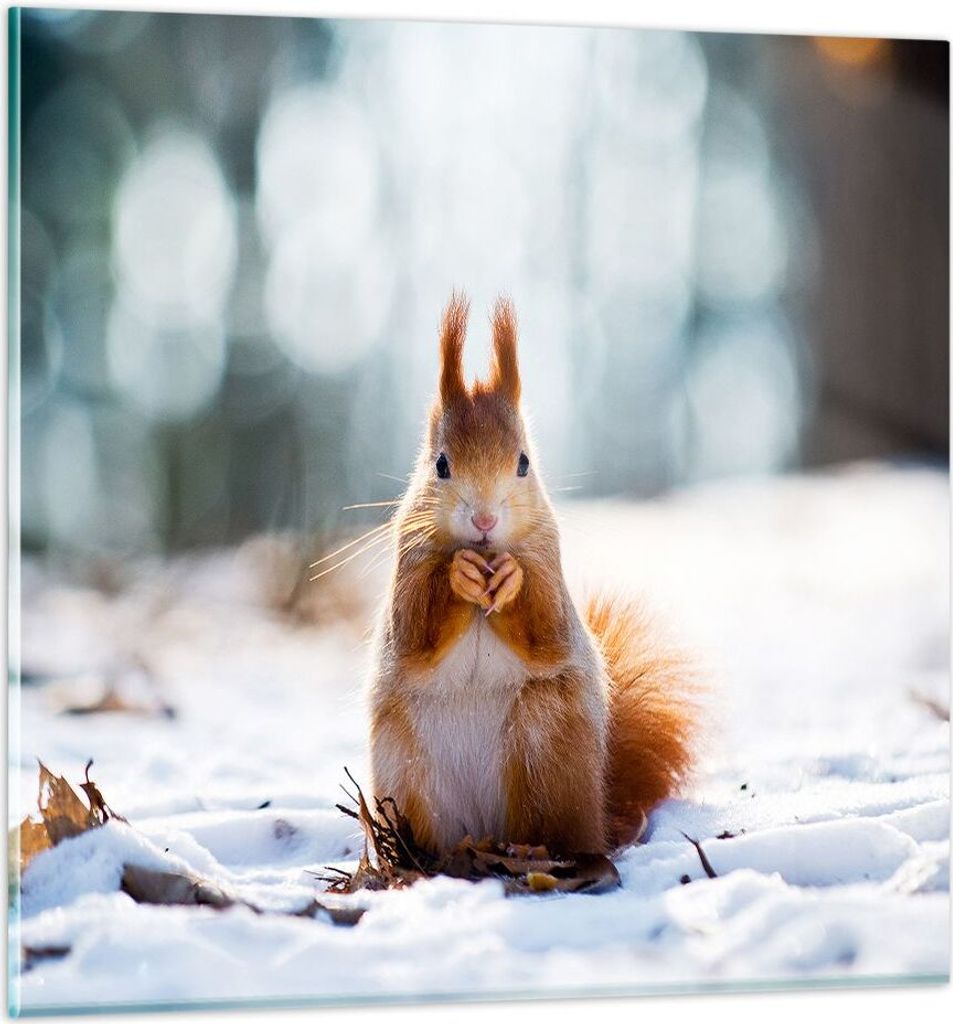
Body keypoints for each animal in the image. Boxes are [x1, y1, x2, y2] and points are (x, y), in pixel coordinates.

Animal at [368, 293, 698, 856]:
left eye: (523, 463)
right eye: (440, 465)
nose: (484, 521)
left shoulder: (550, 563)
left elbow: (546, 628)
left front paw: (511, 578)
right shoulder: (407, 565)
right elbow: (414, 632)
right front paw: (458, 574)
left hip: (544, 741)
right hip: (404, 768)